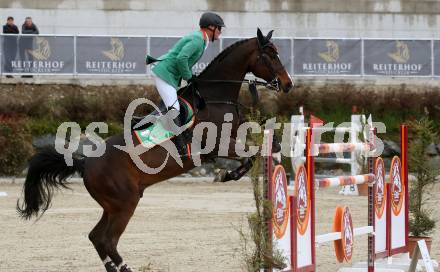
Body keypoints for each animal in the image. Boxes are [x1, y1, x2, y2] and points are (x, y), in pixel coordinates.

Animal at [16, 28, 292, 272]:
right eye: (271, 55)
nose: (288, 85)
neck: (214, 97)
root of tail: (85, 162)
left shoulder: (231, 137)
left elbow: (263, 146)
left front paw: (262, 157)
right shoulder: (217, 145)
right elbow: (250, 153)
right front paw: (228, 174)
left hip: (112, 205)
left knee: (96, 236)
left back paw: (114, 267)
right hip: (124, 204)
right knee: (107, 239)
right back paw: (127, 268)